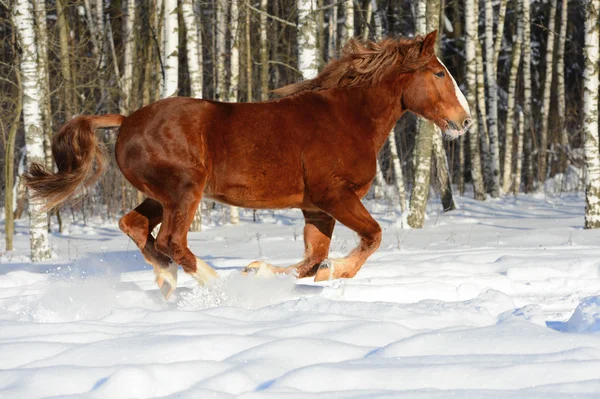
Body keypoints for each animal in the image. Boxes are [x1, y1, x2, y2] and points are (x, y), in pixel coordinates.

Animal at [25, 31, 472, 300]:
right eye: (438, 72)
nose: (465, 121)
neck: (347, 118)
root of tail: (127, 119)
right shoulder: (335, 196)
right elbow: (370, 238)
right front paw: (329, 272)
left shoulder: (316, 207)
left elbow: (311, 258)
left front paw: (257, 272)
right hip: (185, 189)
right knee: (171, 240)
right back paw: (213, 283)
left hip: (162, 194)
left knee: (136, 226)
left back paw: (168, 281)